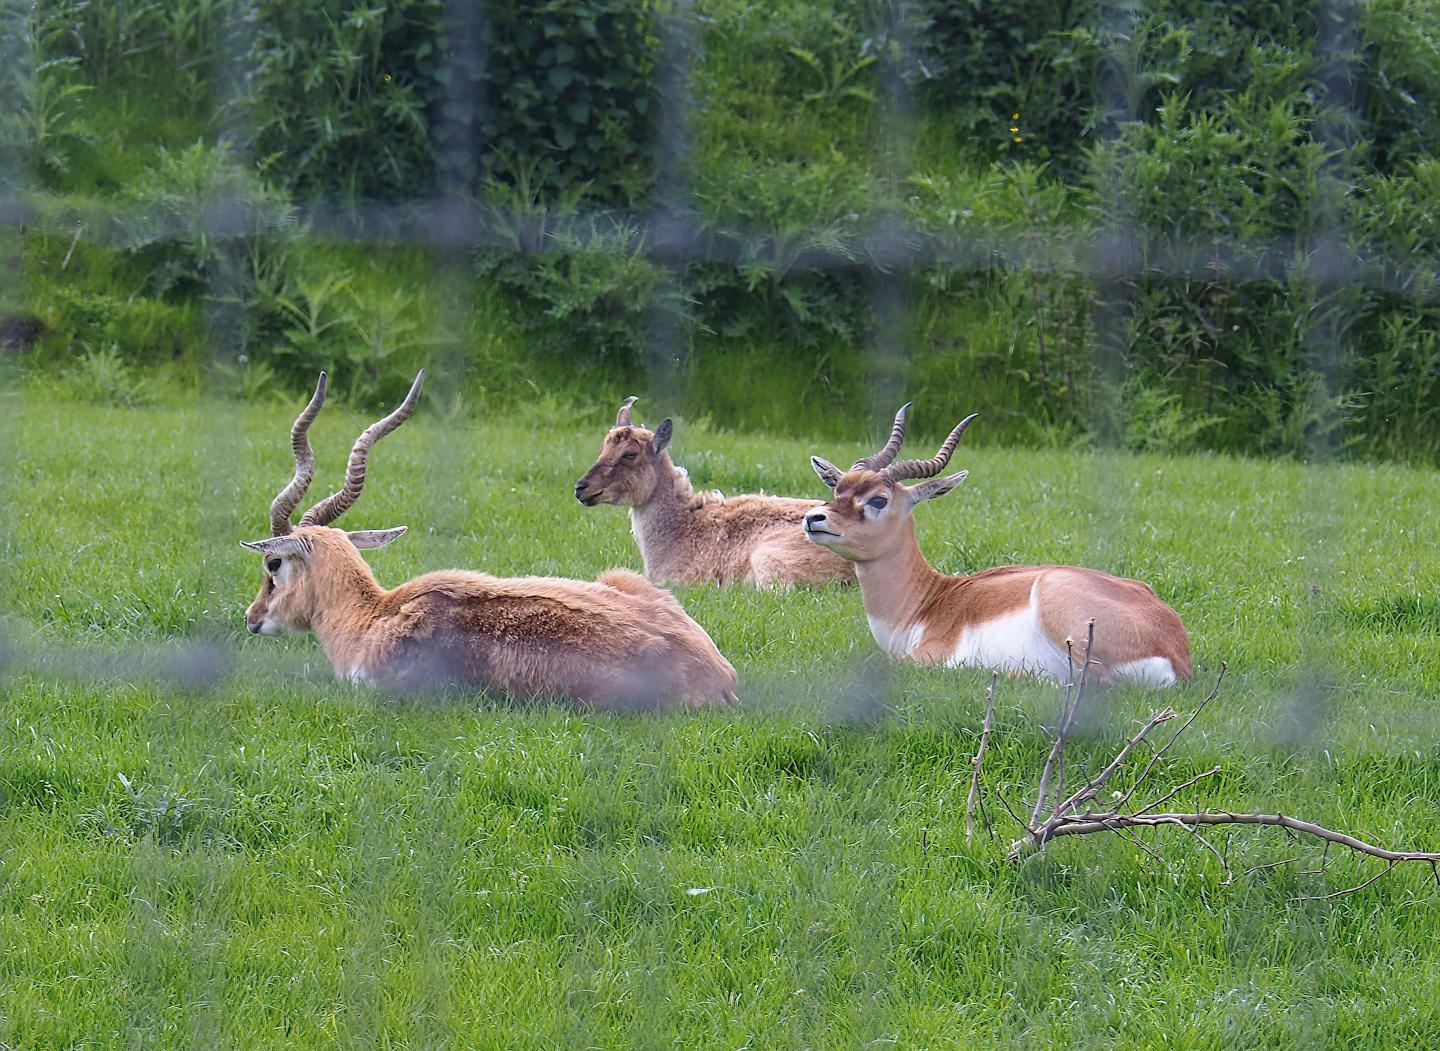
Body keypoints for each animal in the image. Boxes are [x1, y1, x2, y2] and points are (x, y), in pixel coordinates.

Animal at [803, 406, 1191, 686]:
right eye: (838, 488)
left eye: (878, 500)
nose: (813, 518)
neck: (926, 603)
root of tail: (1177, 653)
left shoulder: (926, 654)